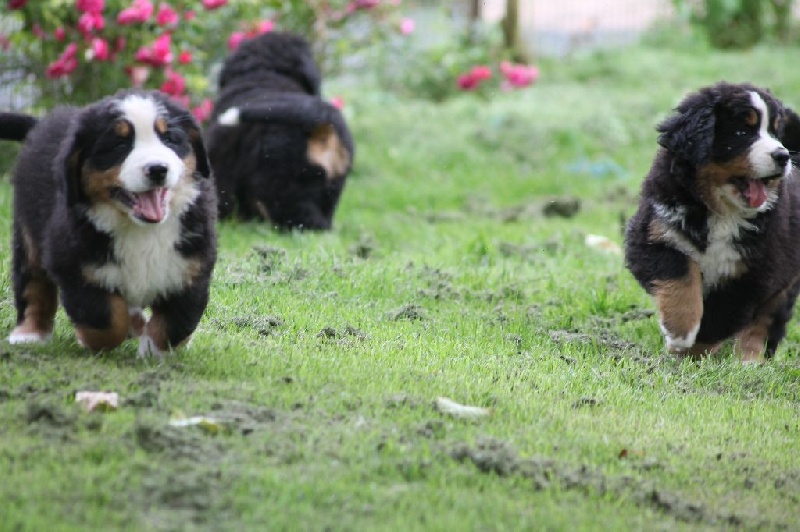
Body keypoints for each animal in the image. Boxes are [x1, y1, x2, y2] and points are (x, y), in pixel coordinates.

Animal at [0, 89, 217, 356]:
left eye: (169, 139)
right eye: (120, 145)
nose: (157, 169)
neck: (142, 230)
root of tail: (42, 123)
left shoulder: (189, 268)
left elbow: (176, 321)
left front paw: (153, 351)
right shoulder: (75, 266)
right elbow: (106, 319)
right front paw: (96, 338)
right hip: (30, 233)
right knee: (33, 285)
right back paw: (29, 334)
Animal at [625, 81, 800, 362]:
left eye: (775, 132)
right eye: (741, 132)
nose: (783, 156)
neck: (722, 211)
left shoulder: (756, 270)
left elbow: (720, 316)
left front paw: (692, 352)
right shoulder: (655, 235)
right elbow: (681, 278)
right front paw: (680, 333)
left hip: (786, 280)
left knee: (765, 322)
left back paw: (749, 360)